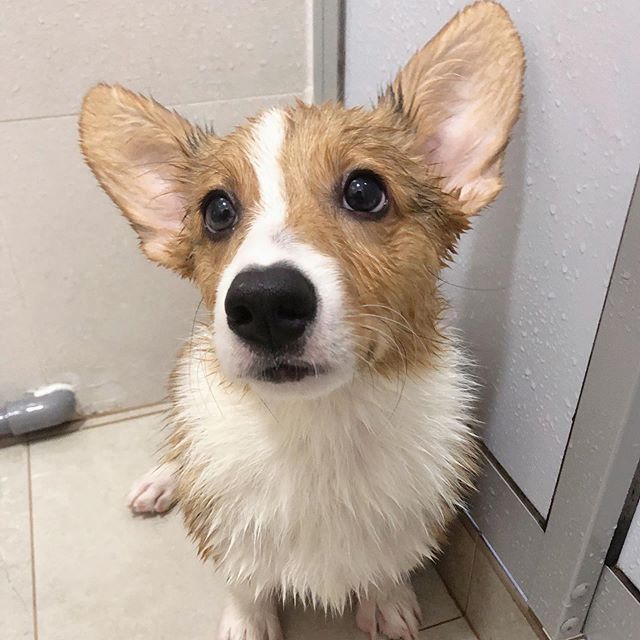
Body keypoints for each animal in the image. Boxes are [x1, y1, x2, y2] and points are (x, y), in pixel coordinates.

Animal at [80, 2, 524, 636]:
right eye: (217, 210)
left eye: (364, 191)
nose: (264, 302)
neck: (317, 429)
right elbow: (245, 580)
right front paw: (248, 621)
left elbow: (387, 566)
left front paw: (386, 603)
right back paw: (162, 480)